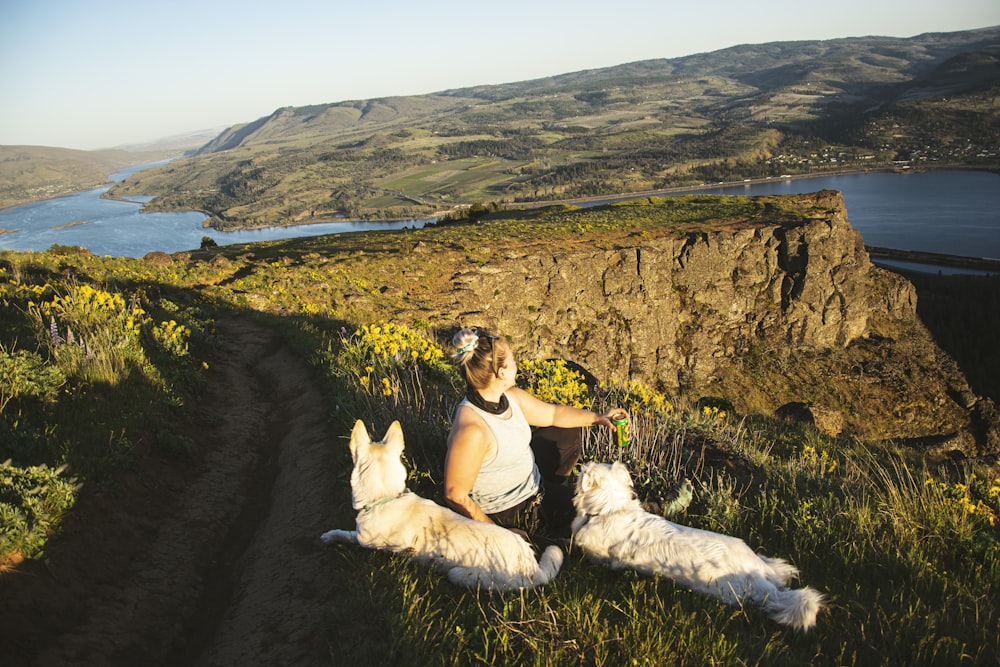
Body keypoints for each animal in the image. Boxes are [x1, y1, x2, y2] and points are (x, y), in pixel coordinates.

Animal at [320, 420, 564, 592]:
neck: (387, 497)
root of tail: (533, 568)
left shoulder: (364, 541)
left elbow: (347, 534)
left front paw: (330, 536)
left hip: (458, 574)